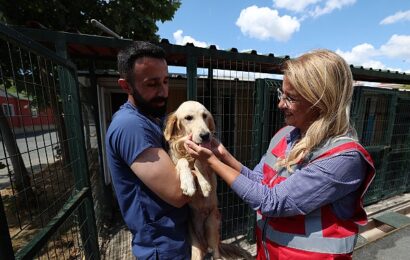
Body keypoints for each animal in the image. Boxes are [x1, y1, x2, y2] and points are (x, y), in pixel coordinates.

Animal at [163, 101, 253, 260]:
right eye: (188, 118)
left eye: (205, 116)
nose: (205, 135)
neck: (188, 153)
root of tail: (204, 243)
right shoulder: (174, 163)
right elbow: (182, 162)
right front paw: (188, 184)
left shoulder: (210, 164)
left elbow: (200, 161)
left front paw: (204, 185)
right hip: (195, 246)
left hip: (212, 227)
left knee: (216, 253)